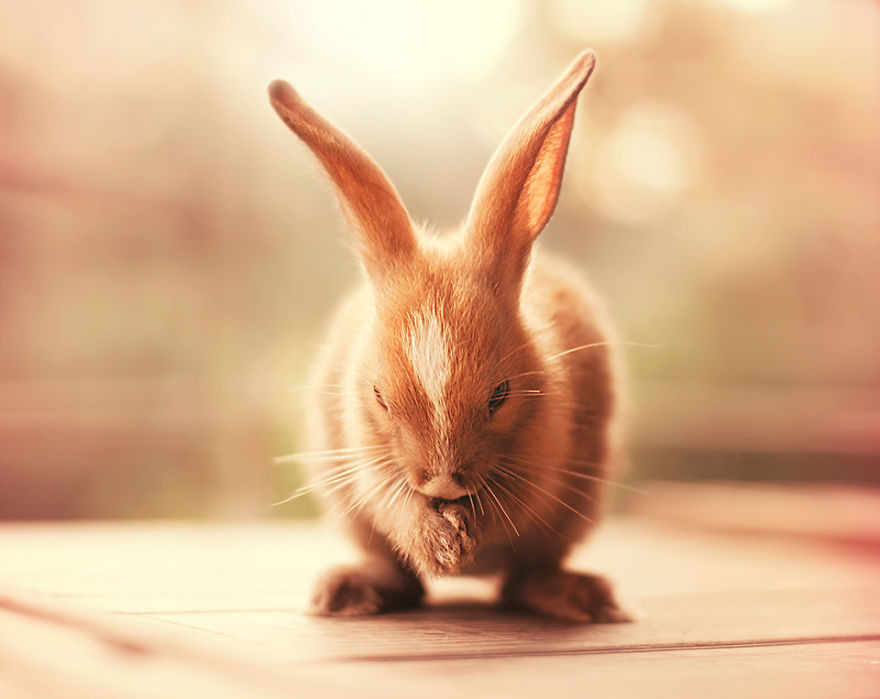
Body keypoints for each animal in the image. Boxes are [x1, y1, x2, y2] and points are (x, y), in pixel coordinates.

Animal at [270, 52, 632, 628]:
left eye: (500, 395)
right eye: (380, 397)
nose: (443, 483)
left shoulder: (544, 459)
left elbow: (512, 504)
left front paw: (462, 536)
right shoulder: (366, 460)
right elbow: (395, 506)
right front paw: (441, 544)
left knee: (524, 578)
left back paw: (581, 598)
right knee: (402, 578)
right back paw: (346, 592)